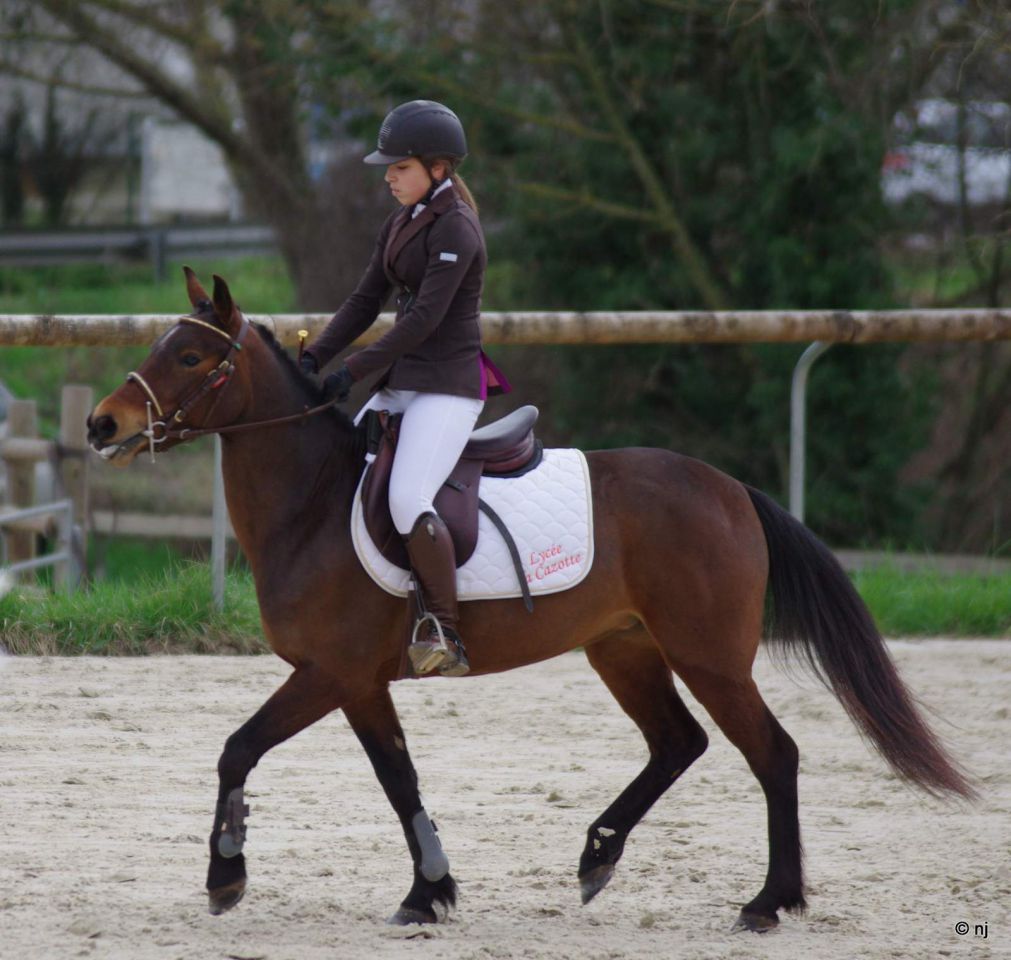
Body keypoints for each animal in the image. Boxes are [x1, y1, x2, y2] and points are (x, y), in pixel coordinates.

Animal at [87, 269, 973, 933]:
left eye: (191, 357)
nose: (102, 425)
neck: (311, 503)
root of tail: (728, 489)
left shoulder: (328, 672)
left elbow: (238, 748)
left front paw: (225, 874)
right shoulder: (360, 683)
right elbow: (398, 779)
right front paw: (429, 892)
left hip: (710, 658)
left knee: (772, 753)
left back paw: (767, 902)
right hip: (622, 648)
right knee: (678, 742)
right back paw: (598, 855)